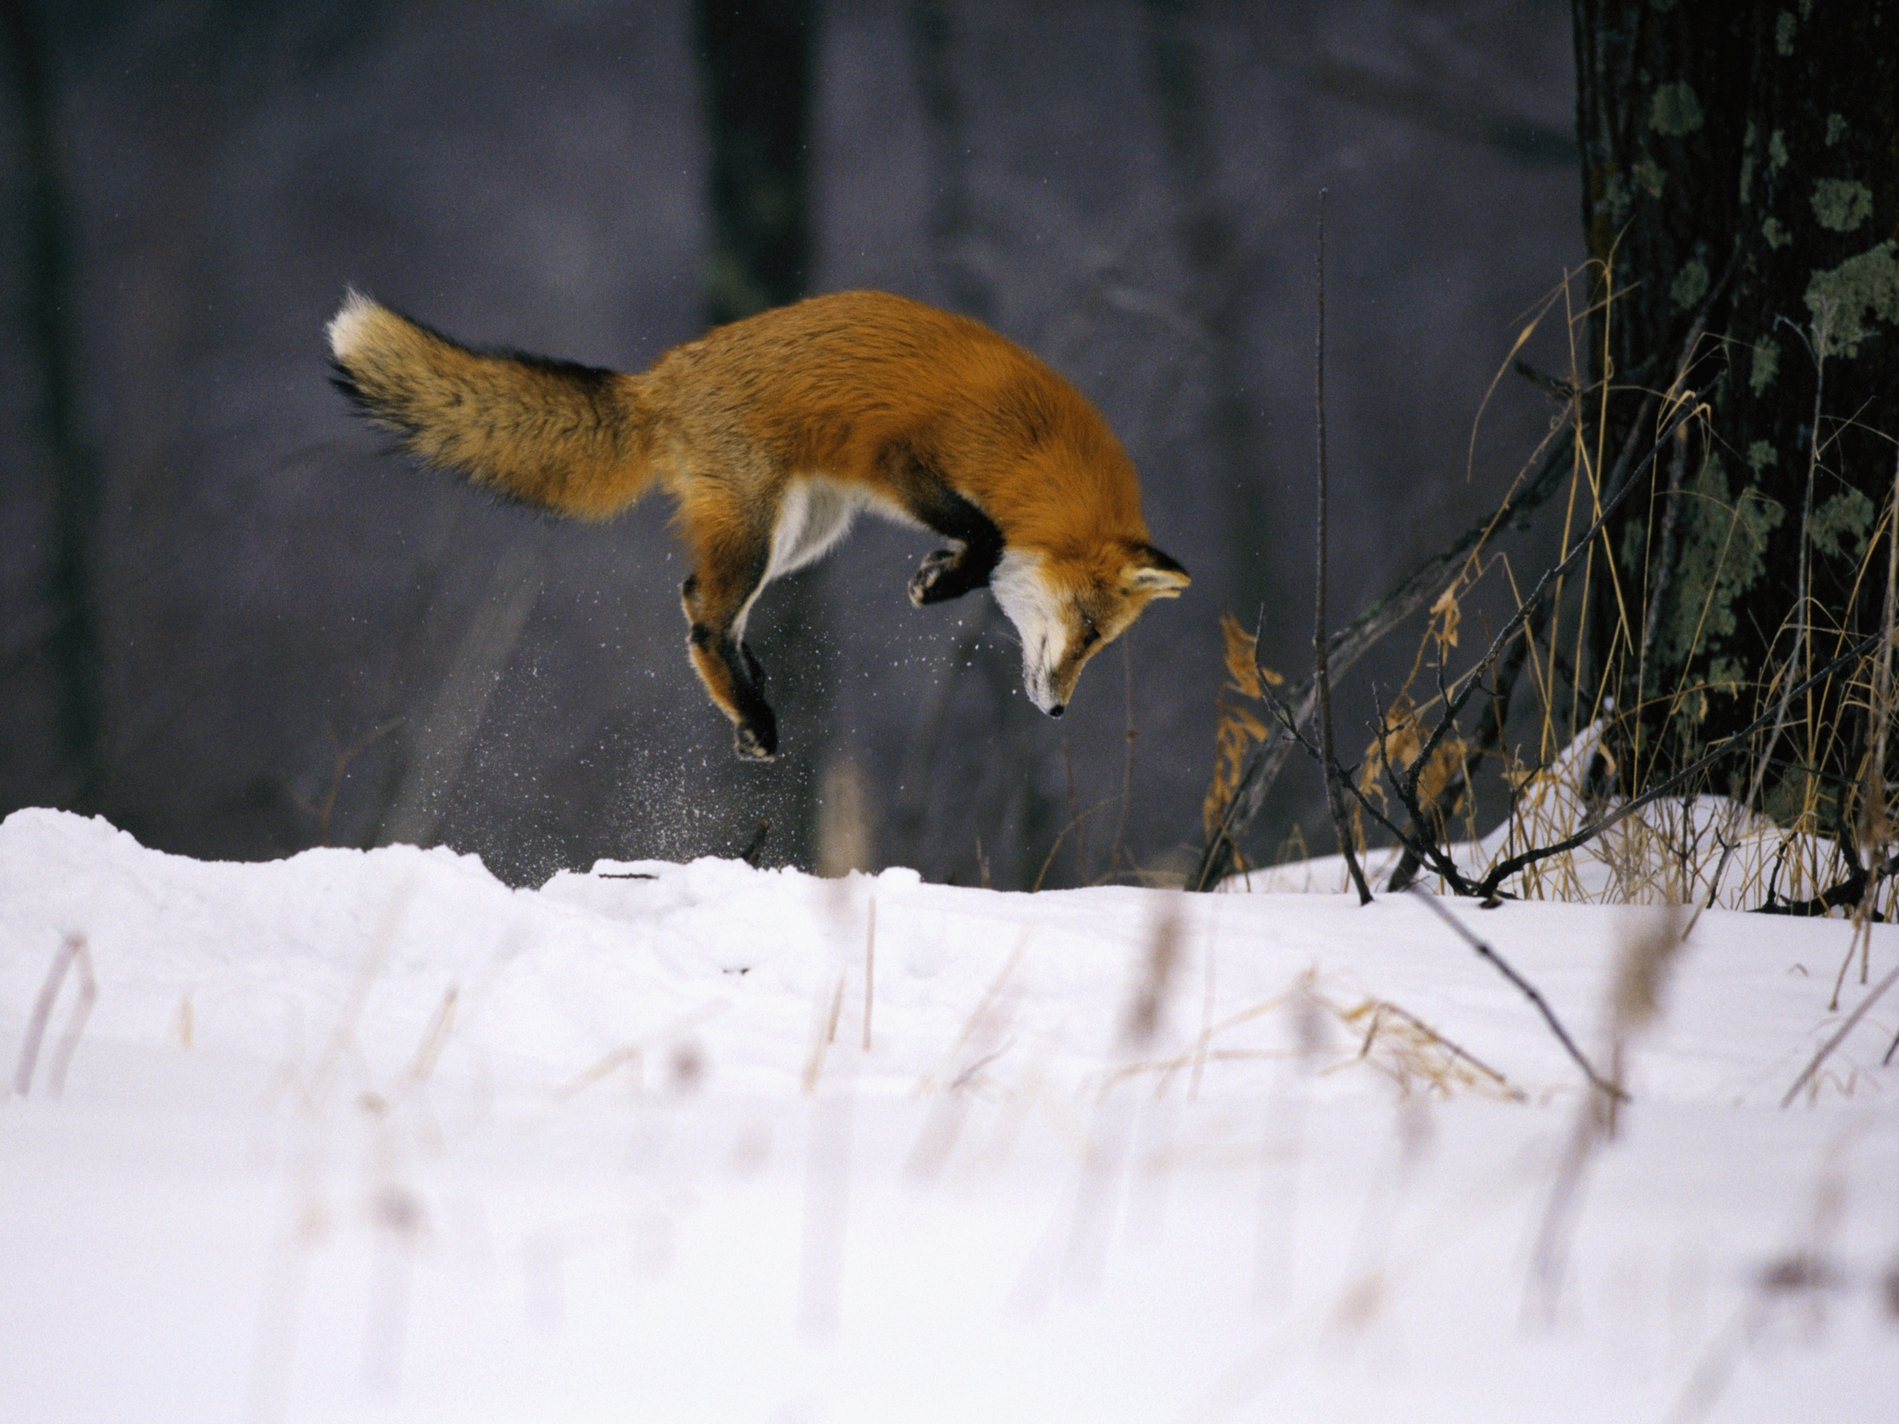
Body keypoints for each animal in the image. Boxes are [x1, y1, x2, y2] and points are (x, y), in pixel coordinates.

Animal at [326, 284, 1184, 763]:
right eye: (1088, 631)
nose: (1058, 711)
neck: (1034, 458)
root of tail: (660, 378)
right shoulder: (900, 457)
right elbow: (988, 536)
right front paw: (942, 582)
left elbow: (980, 538)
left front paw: (941, 573)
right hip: (762, 527)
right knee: (706, 619)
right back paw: (753, 712)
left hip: (803, 532)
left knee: (693, 599)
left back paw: (748, 701)